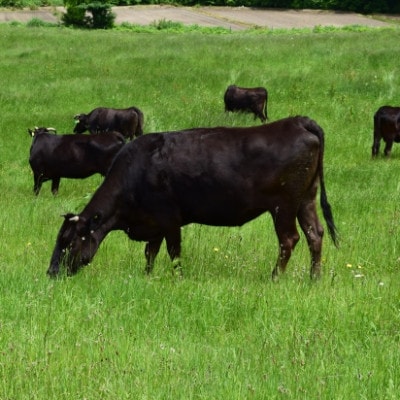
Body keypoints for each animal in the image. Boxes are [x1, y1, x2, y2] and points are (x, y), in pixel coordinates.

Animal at [48, 115, 340, 280]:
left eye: (68, 241)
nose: (52, 273)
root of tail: (298, 121)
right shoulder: (153, 222)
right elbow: (150, 252)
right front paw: (147, 276)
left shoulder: (169, 219)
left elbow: (173, 252)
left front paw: (178, 278)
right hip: (306, 199)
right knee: (315, 234)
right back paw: (314, 278)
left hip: (284, 205)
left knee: (289, 239)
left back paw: (275, 277)